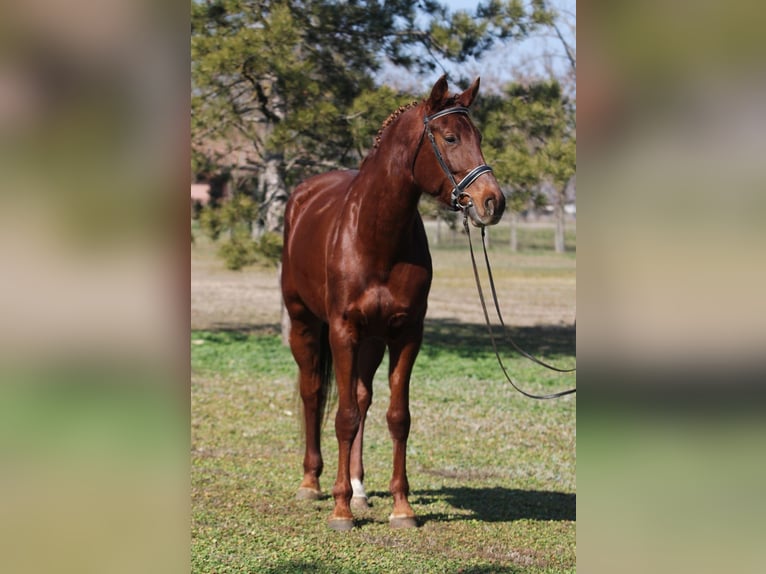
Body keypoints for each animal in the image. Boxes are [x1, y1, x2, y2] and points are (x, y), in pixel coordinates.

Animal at [280, 75, 504, 532]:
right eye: (450, 137)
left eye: (479, 137)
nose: (493, 201)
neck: (375, 234)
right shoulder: (343, 330)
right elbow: (343, 416)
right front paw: (340, 510)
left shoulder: (406, 334)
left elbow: (397, 417)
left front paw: (401, 507)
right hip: (305, 322)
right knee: (314, 392)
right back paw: (312, 482)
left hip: (372, 340)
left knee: (362, 396)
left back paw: (360, 488)